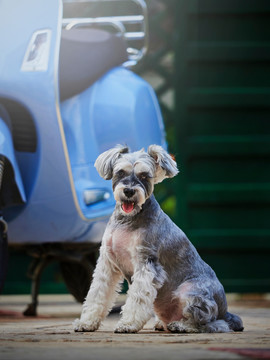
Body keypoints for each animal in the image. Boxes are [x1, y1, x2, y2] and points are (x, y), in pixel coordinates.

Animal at [73, 145, 244, 334]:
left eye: (144, 176)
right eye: (120, 172)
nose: (129, 191)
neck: (127, 219)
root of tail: (226, 312)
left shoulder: (146, 264)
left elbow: (138, 298)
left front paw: (128, 324)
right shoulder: (107, 264)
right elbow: (97, 294)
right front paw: (87, 322)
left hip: (189, 291)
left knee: (212, 324)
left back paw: (181, 325)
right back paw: (163, 323)